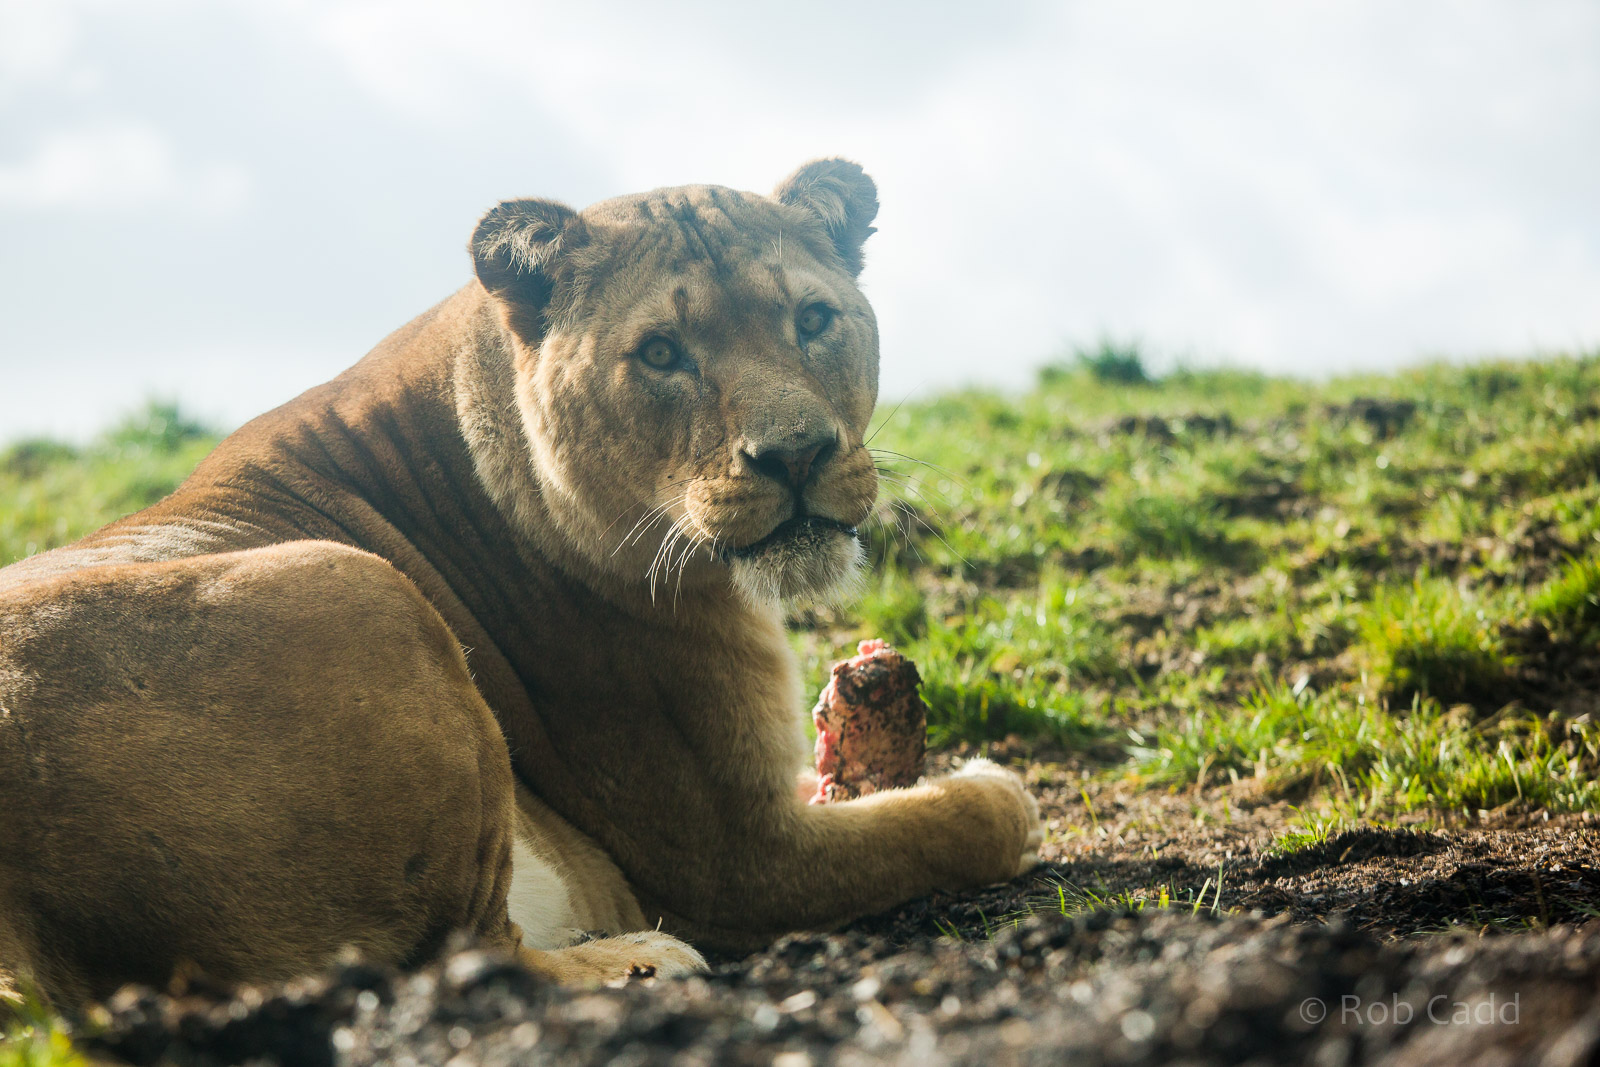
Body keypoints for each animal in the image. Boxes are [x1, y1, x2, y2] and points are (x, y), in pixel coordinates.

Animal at [0, 159, 1041, 1011]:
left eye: (813, 320)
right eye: (661, 353)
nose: (796, 455)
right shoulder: (734, 861)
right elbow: (973, 819)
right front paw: (988, 785)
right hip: (364, 586)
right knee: (473, 953)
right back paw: (640, 959)